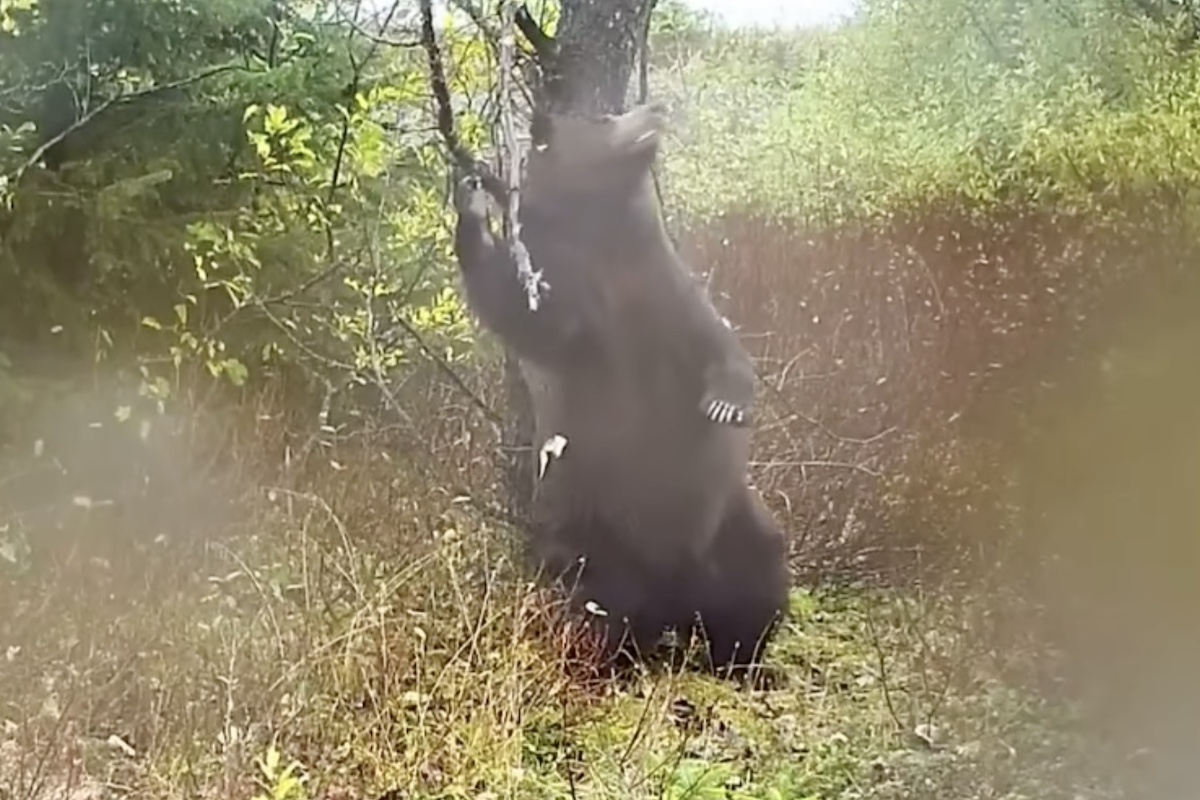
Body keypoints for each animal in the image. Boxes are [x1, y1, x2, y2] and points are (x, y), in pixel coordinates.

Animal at [450, 100, 788, 674]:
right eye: (605, 118)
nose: (655, 107)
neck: (611, 249)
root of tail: (677, 596)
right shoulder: (579, 307)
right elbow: (524, 315)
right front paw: (470, 201)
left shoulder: (665, 296)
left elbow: (722, 345)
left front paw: (726, 404)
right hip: (593, 527)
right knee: (598, 599)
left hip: (731, 517)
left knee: (757, 578)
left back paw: (743, 661)